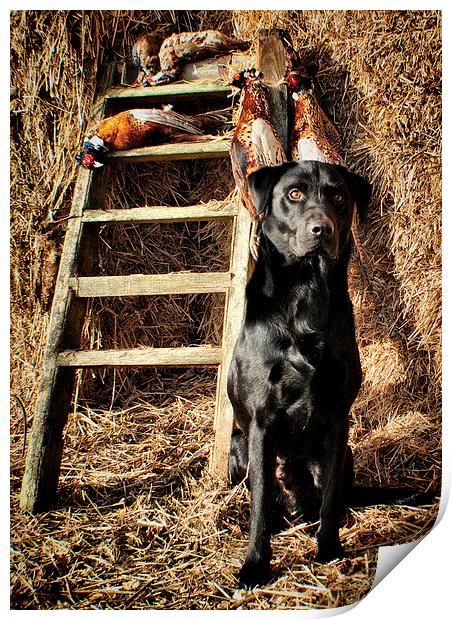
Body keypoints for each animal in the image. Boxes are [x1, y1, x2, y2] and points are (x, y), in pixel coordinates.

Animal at [228, 159, 430, 588]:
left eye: (339, 196)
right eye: (294, 194)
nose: (322, 229)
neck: (307, 294)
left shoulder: (338, 419)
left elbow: (332, 495)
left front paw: (329, 550)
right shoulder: (261, 422)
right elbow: (260, 504)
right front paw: (256, 565)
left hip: (343, 453)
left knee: (331, 500)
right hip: (240, 448)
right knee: (268, 500)